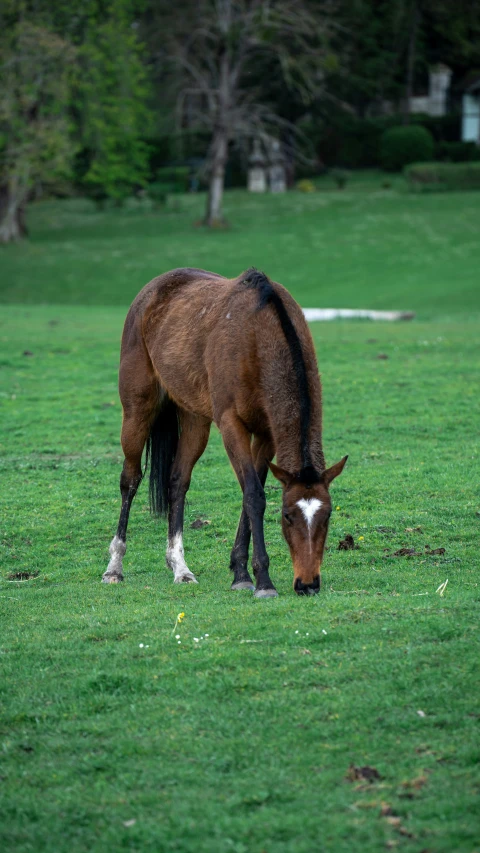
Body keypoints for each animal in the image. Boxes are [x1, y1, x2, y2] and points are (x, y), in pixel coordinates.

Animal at [103, 270, 346, 596]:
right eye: (287, 515)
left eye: (328, 515)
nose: (308, 584)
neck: (258, 336)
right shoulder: (232, 425)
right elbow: (254, 495)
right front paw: (260, 580)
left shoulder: (267, 434)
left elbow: (250, 492)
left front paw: (240, 569)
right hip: (137, 410)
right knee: (129, 480)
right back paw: (114, 567)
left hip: (195, 419)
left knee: (177, 482)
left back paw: (180, 567)